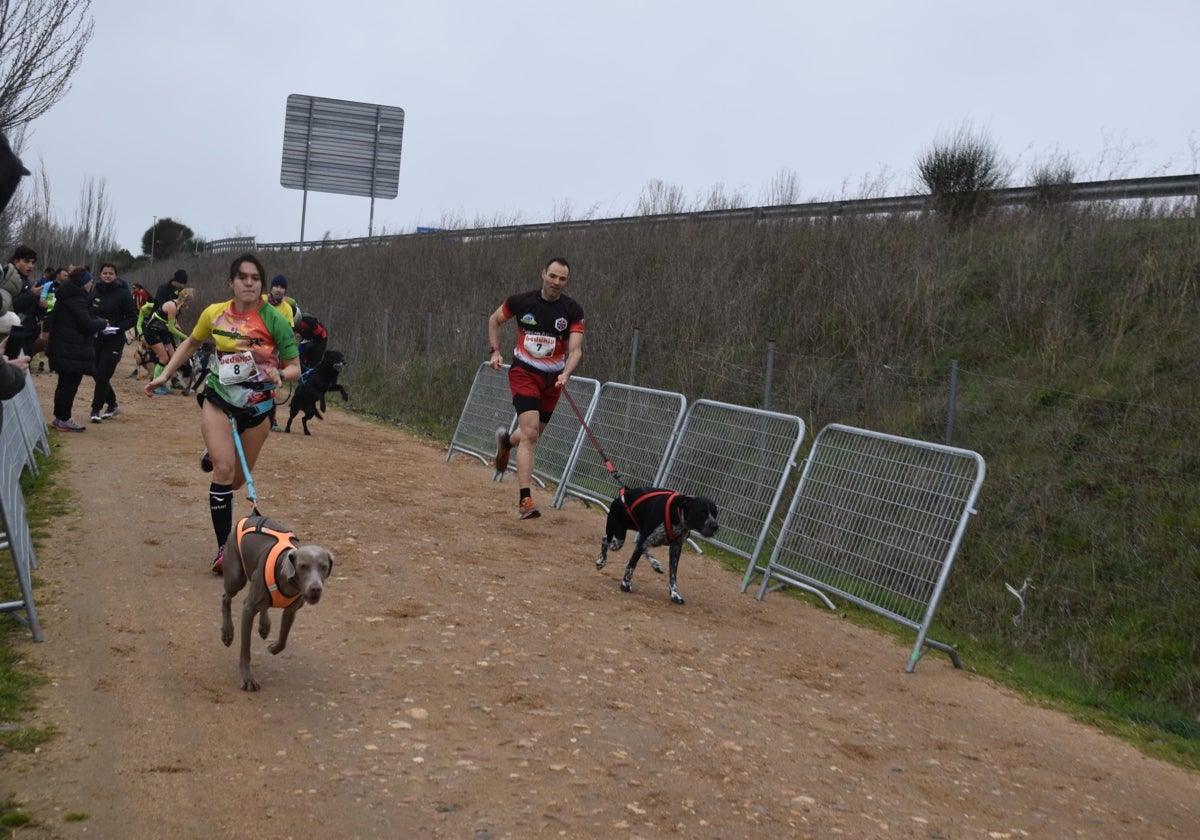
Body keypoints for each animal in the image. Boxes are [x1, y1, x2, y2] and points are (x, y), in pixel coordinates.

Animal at [218, 516, 333, 691]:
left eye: (323, 567)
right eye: (303, 566)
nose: (315, 589)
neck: (288, 582)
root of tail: (251, 516)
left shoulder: (291, 611)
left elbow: (283, 640)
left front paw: (273, 648)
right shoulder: (248, 609)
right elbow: (245, 650)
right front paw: (248, 679)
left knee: (262, 606)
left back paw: (264, 626)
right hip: (235, 578)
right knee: (226, 597)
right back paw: (227, 633)